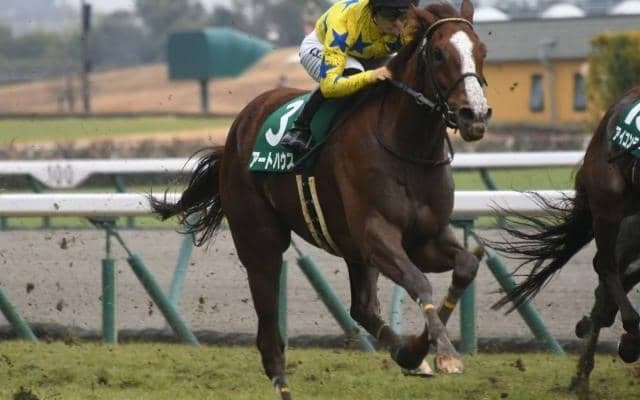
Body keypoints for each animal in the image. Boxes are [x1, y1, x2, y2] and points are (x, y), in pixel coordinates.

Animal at [151, 1, 490, 398]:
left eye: (482, 51)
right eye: (437, 53)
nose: (475, 114)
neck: (407, 147)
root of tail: (240, 125)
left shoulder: (425, 238)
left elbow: (466, 266)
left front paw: (421, 350)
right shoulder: (377, 236)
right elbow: (419, 283)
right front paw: (447, 354)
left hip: (351, 248)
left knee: (362, 308)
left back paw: (406, 354)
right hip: (260, 240)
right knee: (269, 332)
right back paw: (282, 381)